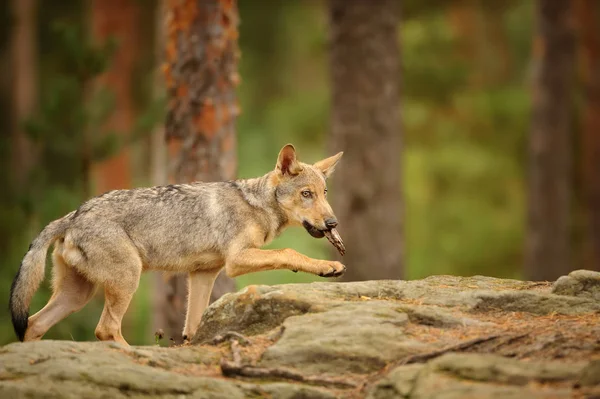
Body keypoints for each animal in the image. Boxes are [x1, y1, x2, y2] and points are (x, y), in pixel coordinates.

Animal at [9, 145, 344, 346]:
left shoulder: (204, 274)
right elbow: (289, 252)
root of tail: (72, 215)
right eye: (306, 194)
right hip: (127, 280)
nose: (332, 223)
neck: (257, 205)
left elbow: (193, 325)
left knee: (34, 324)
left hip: (77, 296)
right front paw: (329, 266)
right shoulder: (236, 261)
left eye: (325, 193)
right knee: (105, 329)